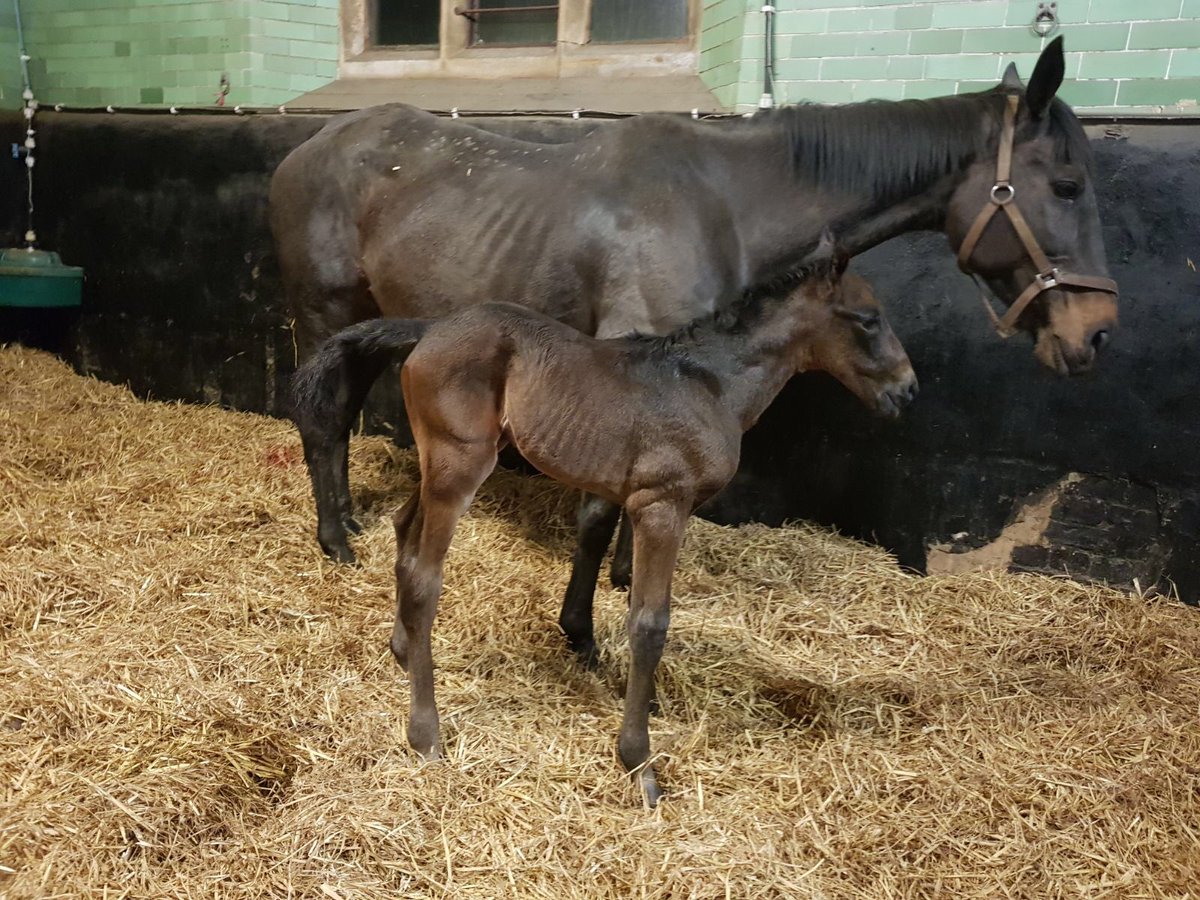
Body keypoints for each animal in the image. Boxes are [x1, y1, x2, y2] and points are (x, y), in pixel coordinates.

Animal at [270, 38, 1117, 582]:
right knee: (324, 419)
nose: (1096, 333)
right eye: (1067, 184)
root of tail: (305, 150)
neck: (723, 204)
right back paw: (335, 539)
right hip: (322, 315)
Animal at [290, 236, 918, 805]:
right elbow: (649, 623)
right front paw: (639, 764)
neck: (711, 383)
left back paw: (401, 650)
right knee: (425, 576)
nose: (907, 389)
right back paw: (426, 735)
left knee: (403, 530)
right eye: (868, 320)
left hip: (439, 463)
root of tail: (428, 330)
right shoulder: (662, 505)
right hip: (460, 463)